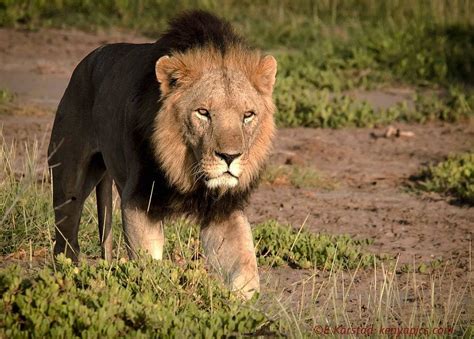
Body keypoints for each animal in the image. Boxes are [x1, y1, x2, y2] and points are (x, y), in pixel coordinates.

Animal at [46, 9, 276, 300]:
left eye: (248, 115)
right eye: (203, 113)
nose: (229, 157)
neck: (187, 171)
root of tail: (88, 60)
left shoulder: (223, 209)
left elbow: (245, 269)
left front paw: (240, 305)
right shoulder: (139, 199)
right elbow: (148, 263)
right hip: (68, 180)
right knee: (65, 241)